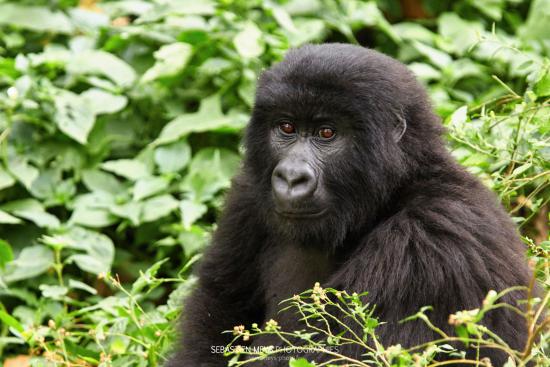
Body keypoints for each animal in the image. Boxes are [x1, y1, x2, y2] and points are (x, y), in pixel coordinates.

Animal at [167, 44, 536, 366]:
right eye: (286, 127)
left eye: (327, 133)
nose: (290, 177)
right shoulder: (247, 192)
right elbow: (218, 308)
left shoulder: (433, 235)